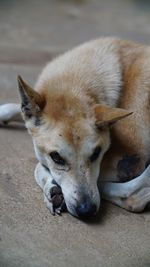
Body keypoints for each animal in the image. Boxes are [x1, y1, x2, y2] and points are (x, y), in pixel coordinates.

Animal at [0, 37, 150, 219]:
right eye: (56, 157)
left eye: (96, 154)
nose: (86, 210)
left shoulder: (130, 158)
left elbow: (38, 166)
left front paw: (52, 187)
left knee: (133, 194)